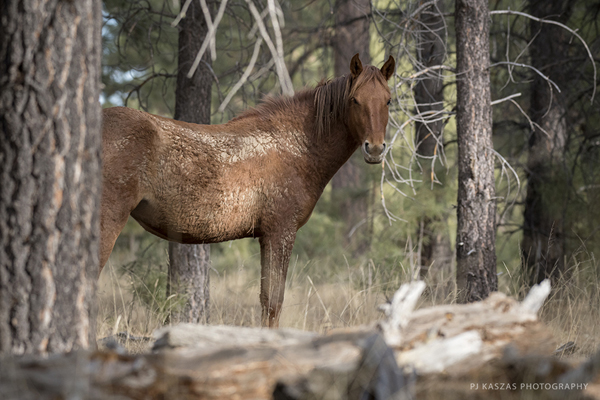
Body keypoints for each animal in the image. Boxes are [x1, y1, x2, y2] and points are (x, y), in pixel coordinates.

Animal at [101, 54, 396, 328]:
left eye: (388, 100)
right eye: (355, 100)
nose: (375, 149)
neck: (296, 146)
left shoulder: (266, 236)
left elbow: (266, 300)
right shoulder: (280, 232)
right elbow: (274, 301)